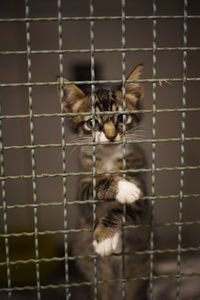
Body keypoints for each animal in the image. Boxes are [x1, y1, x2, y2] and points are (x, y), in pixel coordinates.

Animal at [57, 64, 151, 298]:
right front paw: (123, 187)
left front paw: (106, 238)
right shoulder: (82, 187)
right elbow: (95, 187)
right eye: (92, 123)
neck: (108, 158)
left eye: (122, 118)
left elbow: (126, 208)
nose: (110, 135)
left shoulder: (142, 188)